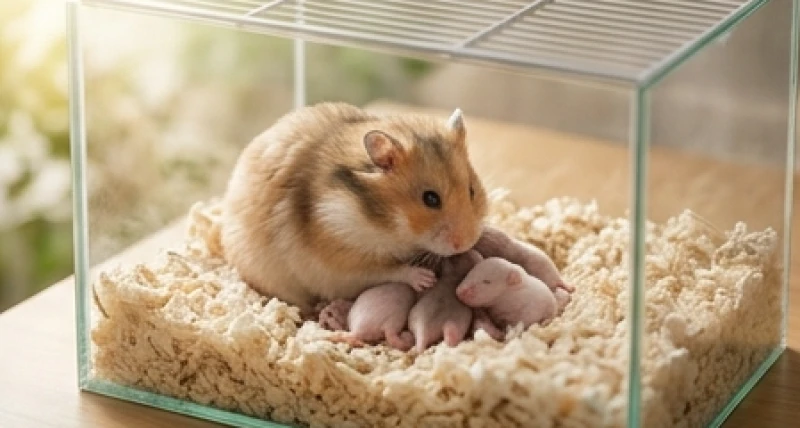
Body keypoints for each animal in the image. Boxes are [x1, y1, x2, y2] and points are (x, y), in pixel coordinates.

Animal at [221, 102, 489, 315]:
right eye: (430, 199)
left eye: (472, 190)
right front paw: (425, 279)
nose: (465, 244)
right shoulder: (343, 259)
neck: (385, 222)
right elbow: (389, 270)